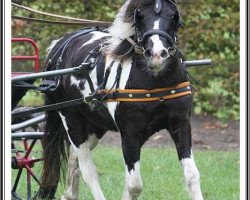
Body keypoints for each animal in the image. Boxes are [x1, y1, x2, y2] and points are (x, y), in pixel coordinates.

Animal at [38, 0, 203, 200]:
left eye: (174, 15)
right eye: (139, 16)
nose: (157, 54)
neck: (155, 82)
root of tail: (58, 46)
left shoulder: (181, 124)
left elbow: (192, 175)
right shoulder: (130, 132)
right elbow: (134, 186)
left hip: (95, 127)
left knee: (73, 160)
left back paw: (70, 194)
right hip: (72, 121)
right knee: (88, 170)